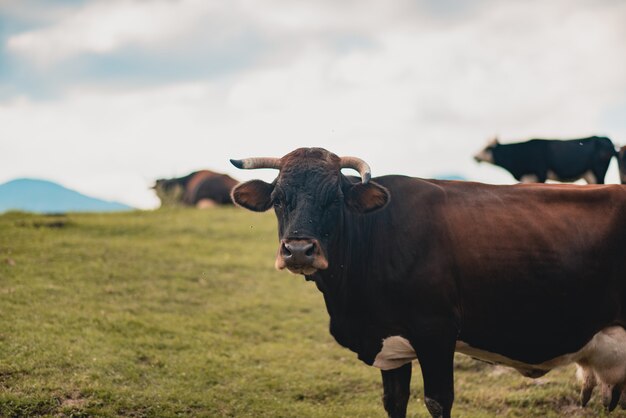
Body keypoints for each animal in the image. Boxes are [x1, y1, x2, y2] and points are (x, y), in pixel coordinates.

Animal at [230, 147, 626, 418]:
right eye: (278, 199)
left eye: (335, 198)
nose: (298, 250)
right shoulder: (389, 344)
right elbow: (394, 402)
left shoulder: (436, 332)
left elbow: (438, 400)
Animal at [472, 136, 616, 184]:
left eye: (487, 148)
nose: (474, 156)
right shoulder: (528, 177)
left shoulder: (540, 174)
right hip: (589, 176)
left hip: (598, 173)